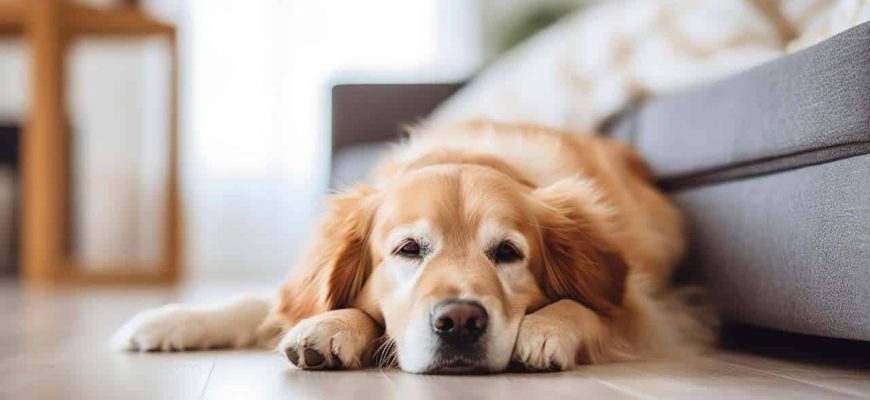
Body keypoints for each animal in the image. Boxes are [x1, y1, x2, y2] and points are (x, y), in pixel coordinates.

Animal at [114, 120, 716, 374]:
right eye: (408, 250)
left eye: (507, 253)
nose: (460, 322)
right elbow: (270, 302)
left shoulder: (653, 310)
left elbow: (590, 308)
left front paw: (547, 328)